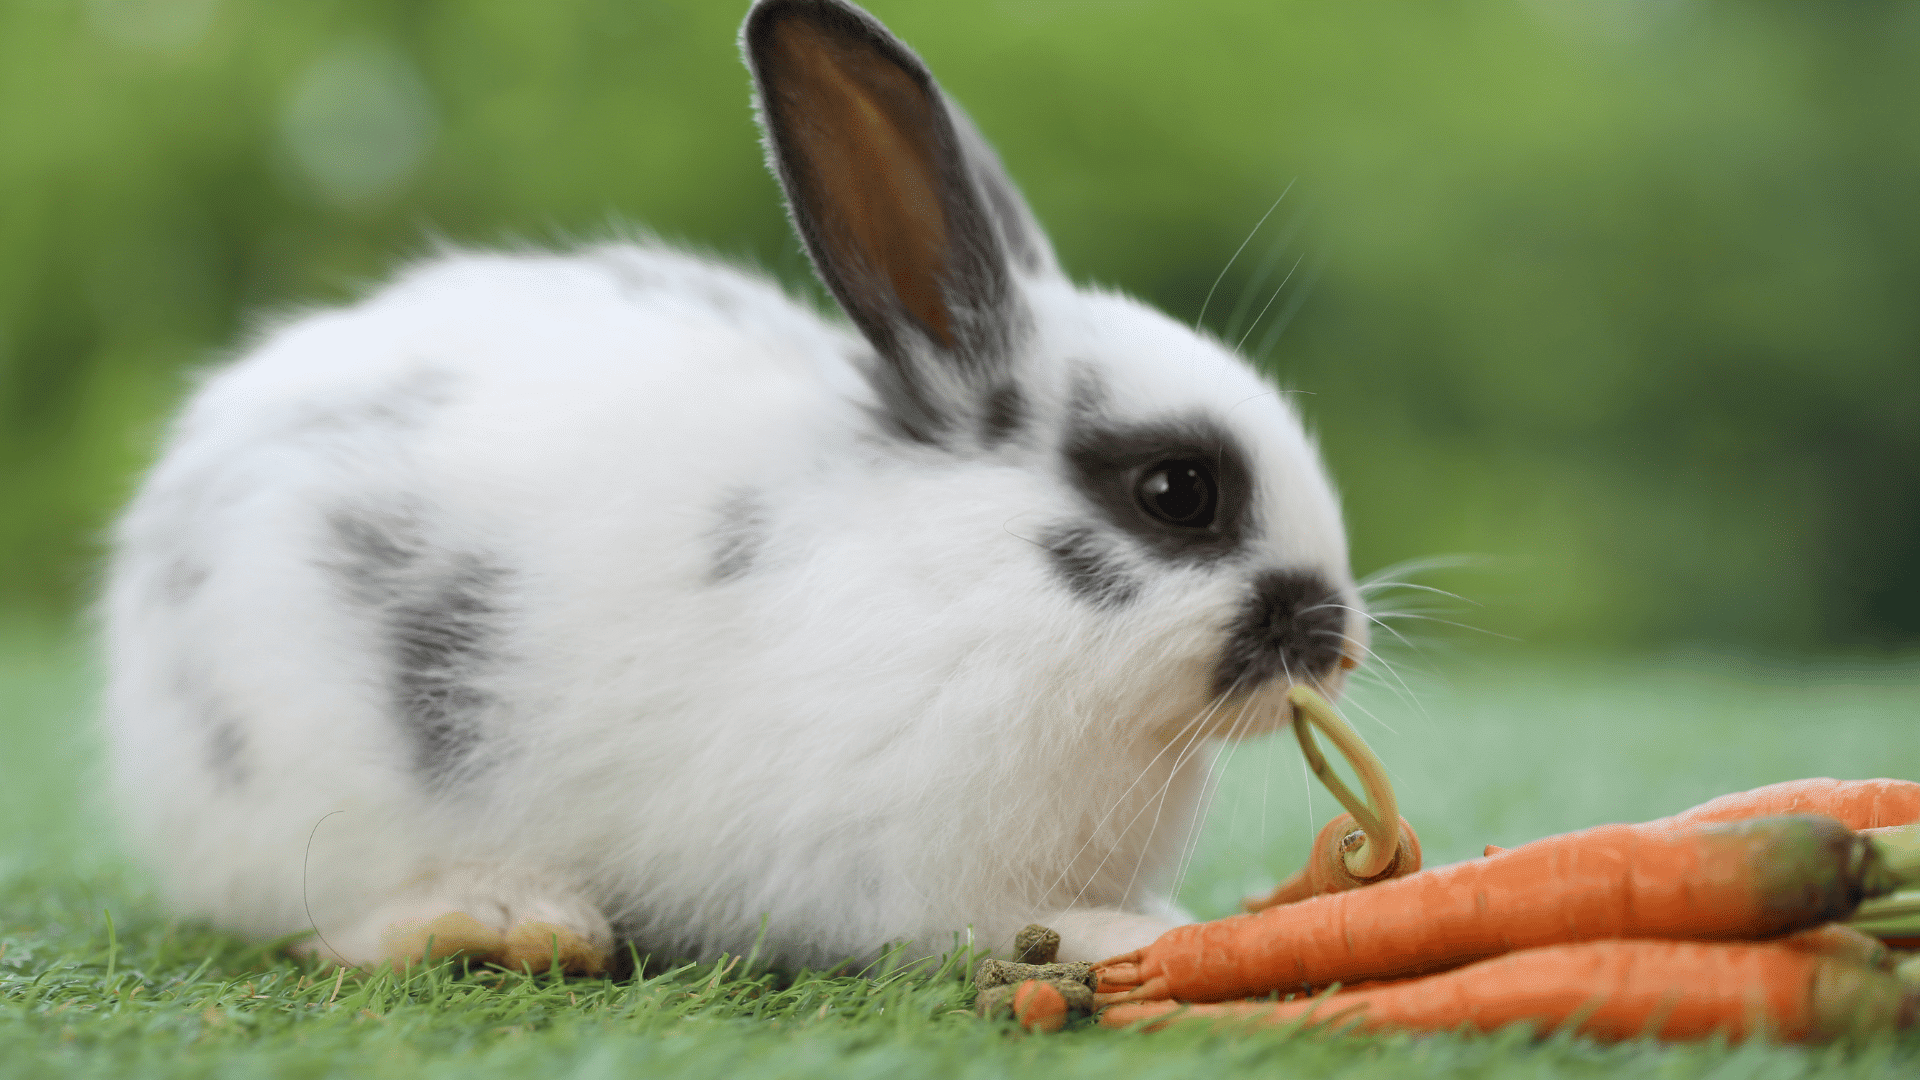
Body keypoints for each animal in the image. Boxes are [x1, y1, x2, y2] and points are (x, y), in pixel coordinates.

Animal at [102, 0, 1365, 973]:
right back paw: (511, 918)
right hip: (311, 801)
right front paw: (1132, 935)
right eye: (1177, 490)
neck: (969, 578)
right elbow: (1001, 925)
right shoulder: (900, 870)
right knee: (324, 926)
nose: (1338, 638)